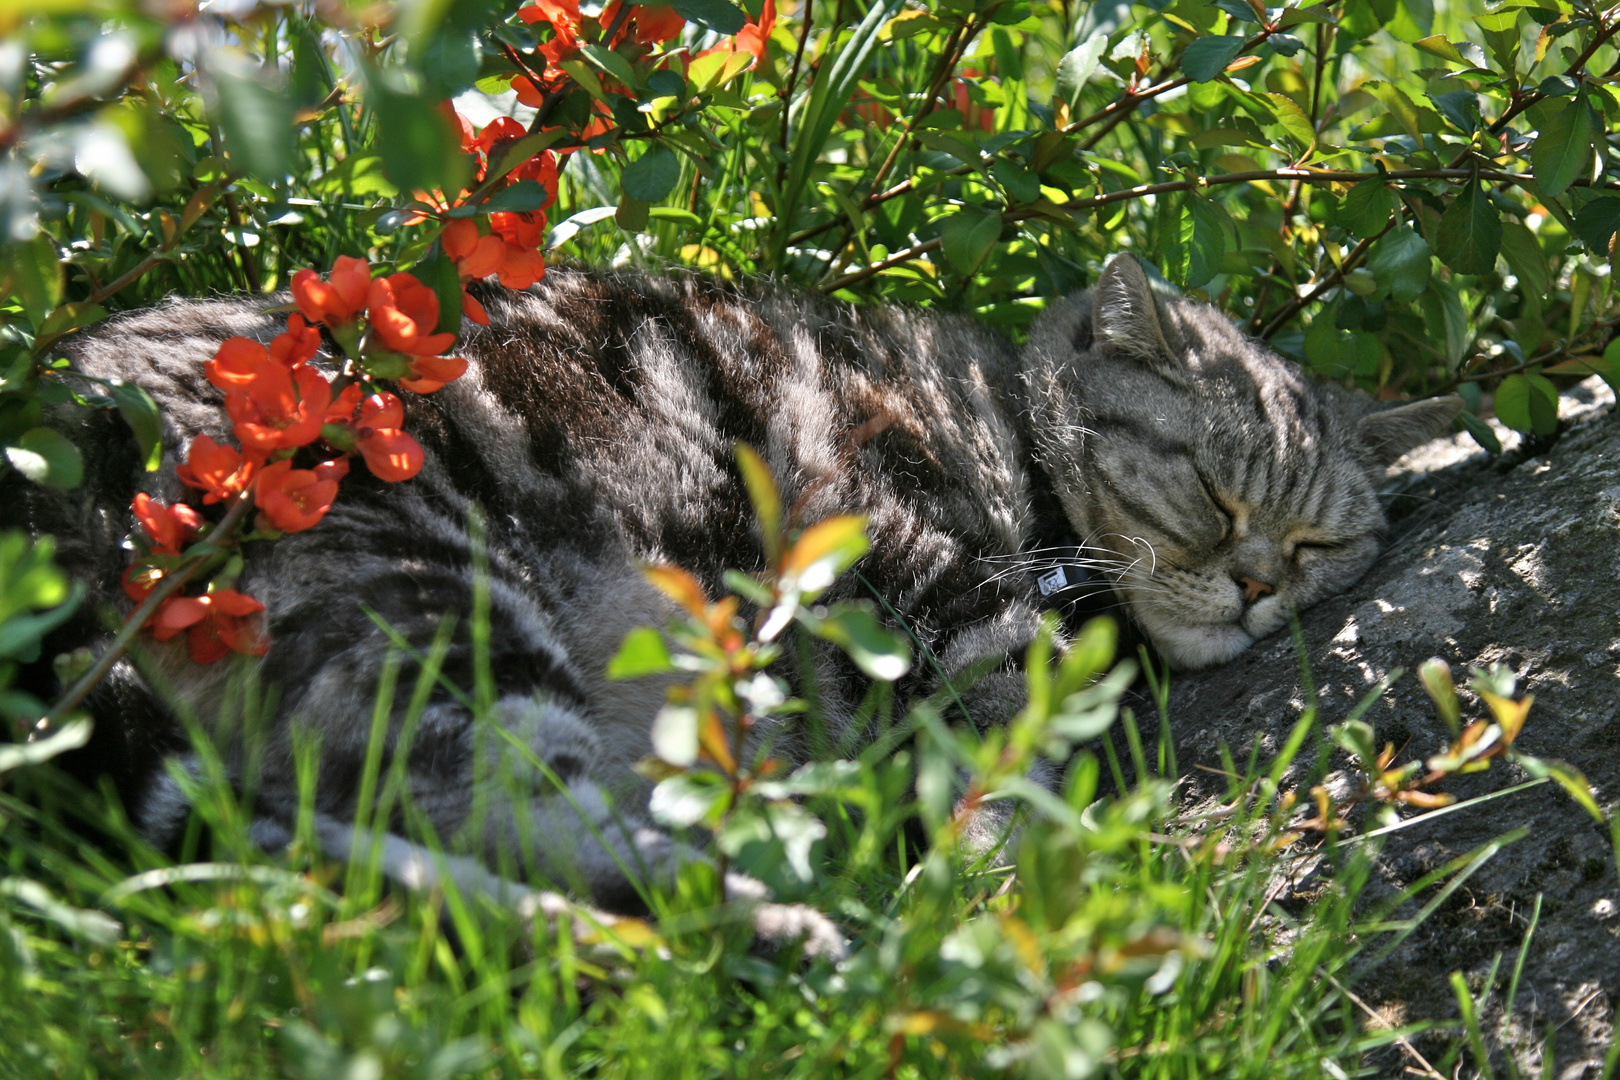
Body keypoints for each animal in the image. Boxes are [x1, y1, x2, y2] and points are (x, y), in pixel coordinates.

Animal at [12, 255, 1464, 939]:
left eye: (1318, 541)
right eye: (1215, 494)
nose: (1257, 582)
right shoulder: (914, 565)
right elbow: (1007, 751)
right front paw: (977, 871)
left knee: (334, 849)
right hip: (432, 598)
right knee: (496, 821)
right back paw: (788, 916)